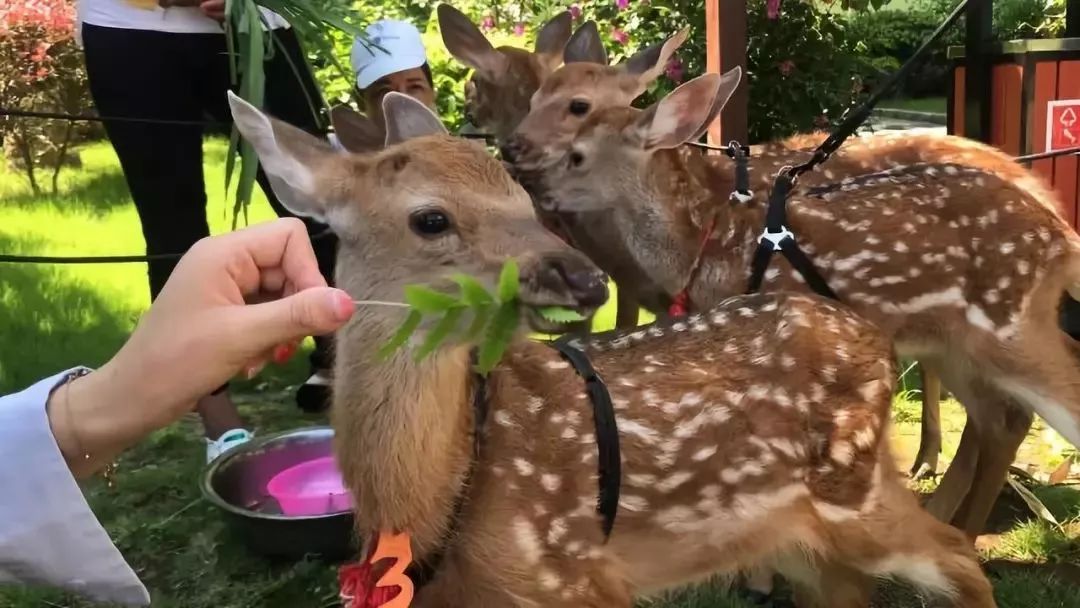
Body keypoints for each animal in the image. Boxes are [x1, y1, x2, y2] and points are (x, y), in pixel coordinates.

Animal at [227, 89, 993, 608]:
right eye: (431, 219)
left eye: (523, 198)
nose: (585, 276)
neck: (434, 501)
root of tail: (872, 339)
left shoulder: (579, 577)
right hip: (801, 532)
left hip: (855, 489)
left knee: (961, 556)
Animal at [509, 70, 1080, 546]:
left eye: (577, 153)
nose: (526, 180)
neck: (700, 246)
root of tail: (1060, 235)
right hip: (955, 344)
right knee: (1000, 420)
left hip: (1007, 327)